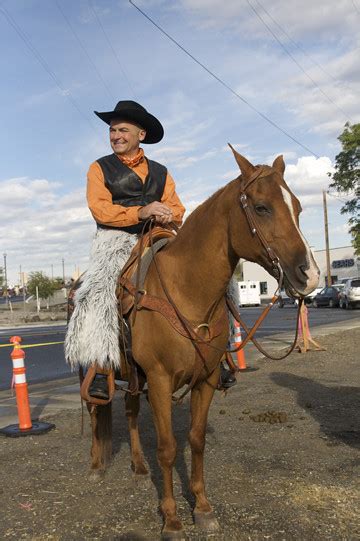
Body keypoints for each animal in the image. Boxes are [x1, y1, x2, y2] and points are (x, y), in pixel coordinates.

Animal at [86, 149, 320, 540]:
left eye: (299, 207)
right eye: (261, 207)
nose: (310, 275)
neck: (187, 290)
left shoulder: (206, 380)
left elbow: (196, 440)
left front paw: (203, 507)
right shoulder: (160, 381)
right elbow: (167, 448)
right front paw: (171, 519)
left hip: (133, 377)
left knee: (130, 412)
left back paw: (138, 466)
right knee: (94, 412)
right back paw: (95, 465)